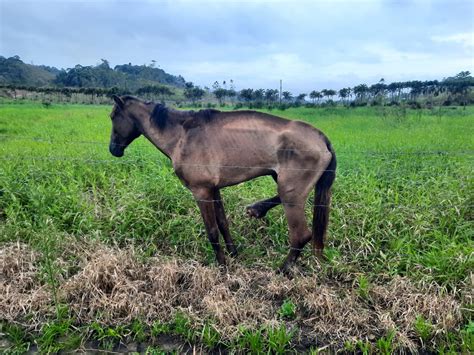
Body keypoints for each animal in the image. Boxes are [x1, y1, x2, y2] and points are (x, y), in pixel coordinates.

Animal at [109, 95, 336, 276]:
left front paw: (222, 266)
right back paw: (257, 209)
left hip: (291, 193)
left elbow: (211, 231)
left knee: (301, 235)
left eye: (112, 117)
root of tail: (321, 137)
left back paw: (282, 269)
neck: (182, 135)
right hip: (283, 181)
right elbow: (223, 223)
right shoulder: (214, 189)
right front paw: (233, 254)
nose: (113, 149)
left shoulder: (201, 191)